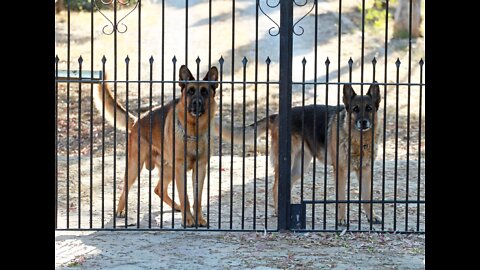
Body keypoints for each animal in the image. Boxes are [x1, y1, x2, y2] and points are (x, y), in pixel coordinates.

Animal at [94, 66, 218, 228]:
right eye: (190, 91)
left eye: (204, 92)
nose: (196, 103)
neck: (194, 131)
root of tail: (137, 120)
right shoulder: (180, 168)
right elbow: (185, 197)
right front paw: (188, 220)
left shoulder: (200, 168)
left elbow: (197, 199)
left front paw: (199, 219)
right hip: (135, 166)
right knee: (125, 188)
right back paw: (120, 210)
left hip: (169, 170)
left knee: (159, 189)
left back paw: (175, 206)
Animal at [218, 83, 382, 226]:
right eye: (355, 109)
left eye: (369, 108)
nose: (363, 122)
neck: (358, 141)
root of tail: (277, 115)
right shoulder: (340, 171)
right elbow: (341, 198)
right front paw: (341, 219)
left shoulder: (366, 171)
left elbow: (368, 197)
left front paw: (372, 216)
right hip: (286, 163)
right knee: (275, 187)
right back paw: (279, 211)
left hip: (299, 169)